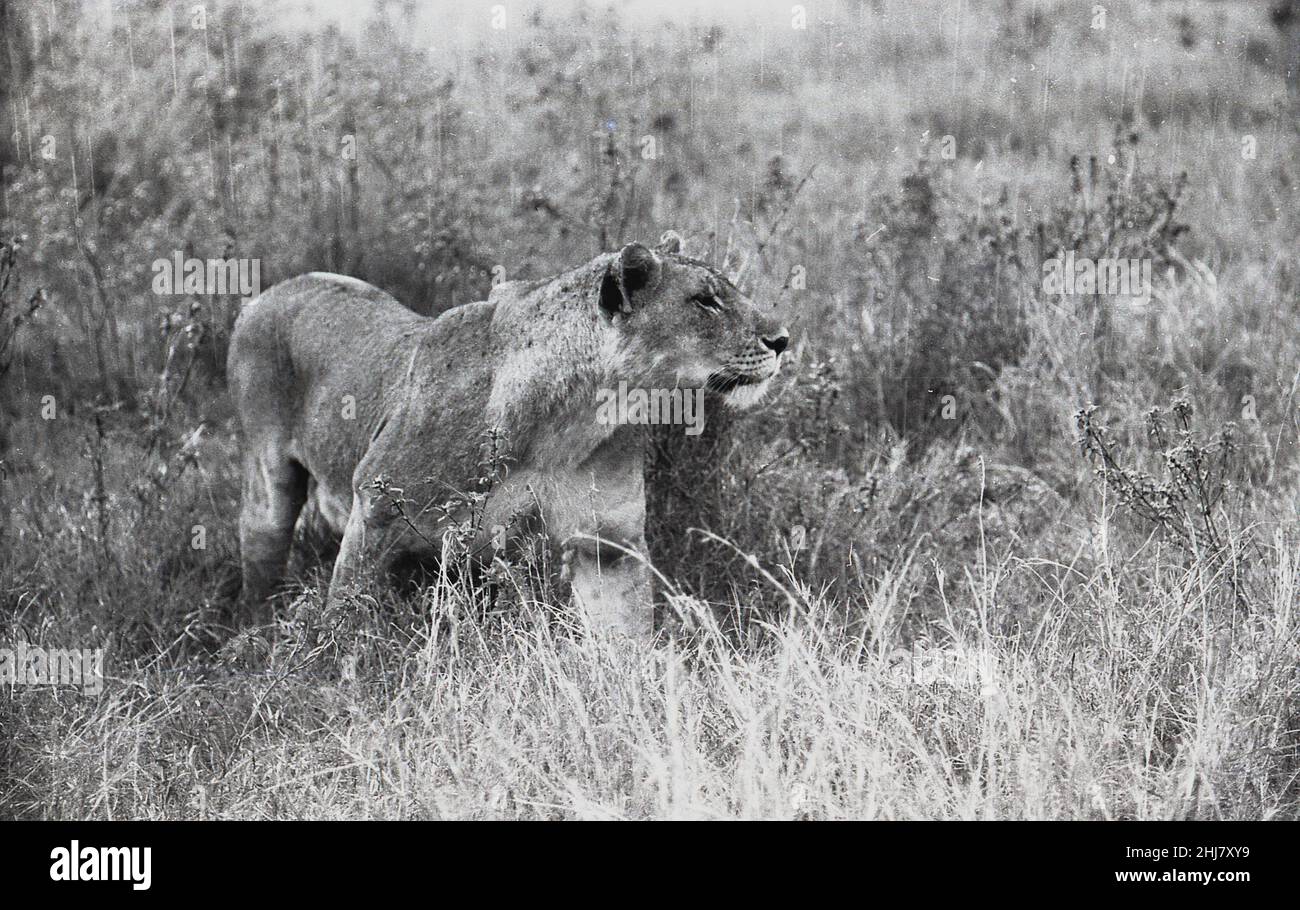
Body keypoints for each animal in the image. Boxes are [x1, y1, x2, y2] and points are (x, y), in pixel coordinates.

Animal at [227, 235, 789, 640]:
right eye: (705, 302)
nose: (782, 340)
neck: (573, 420)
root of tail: (278, 289)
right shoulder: (376, 506)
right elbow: (345, 617)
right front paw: (334, 676)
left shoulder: (609, 541)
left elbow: (625, 637)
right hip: (268, 487)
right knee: (261, 556)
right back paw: (254, 636)